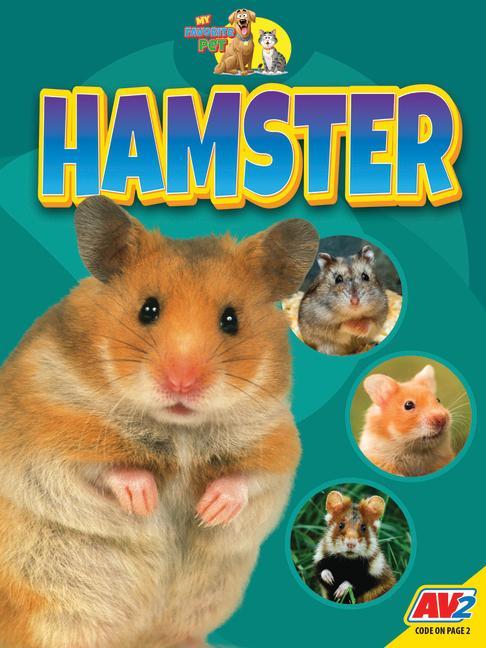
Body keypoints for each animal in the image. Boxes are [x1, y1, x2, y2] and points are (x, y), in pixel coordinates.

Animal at [0, 196, 318, 648]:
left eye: (231, 319)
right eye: (147, 309)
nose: (182, 382)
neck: (179, 429)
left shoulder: (276, 442)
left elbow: (248, 480)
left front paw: (210, 510)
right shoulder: (51, 431)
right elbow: (104, 470)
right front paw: (145, 500)